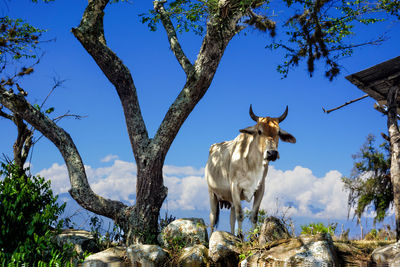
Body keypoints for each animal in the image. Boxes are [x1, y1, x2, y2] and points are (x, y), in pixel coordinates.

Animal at [205, 105, 296, 239]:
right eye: (259, 131)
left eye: (278, 132)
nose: (272, 153)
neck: (252, 164)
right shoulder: (235, 187)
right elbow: (240, 214)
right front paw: (241, 237)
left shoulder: (260, 189)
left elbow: (254, 215)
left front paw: (253, 238)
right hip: (212, 193)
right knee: (212, 218)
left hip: (230, 199)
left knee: (231, 218)